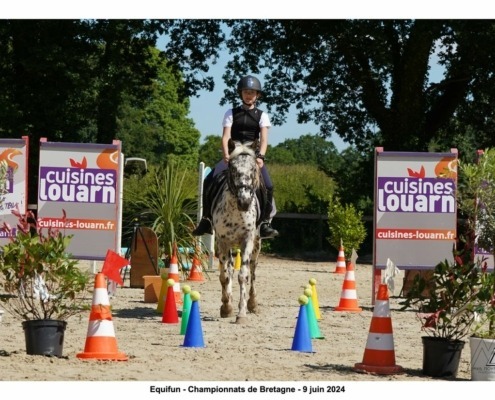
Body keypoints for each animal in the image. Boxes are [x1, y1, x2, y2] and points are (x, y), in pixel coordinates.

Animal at [210, 139, 264, 324]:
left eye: (253, 168)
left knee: (253, 272)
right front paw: (226, 307)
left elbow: (244, 275)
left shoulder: (247, 240)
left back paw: (253, 304)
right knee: (228, 271)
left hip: (256, 245)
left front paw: (241, 313)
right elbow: (225, 276)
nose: (245, 202)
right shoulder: (222, 241)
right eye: (233, 168)